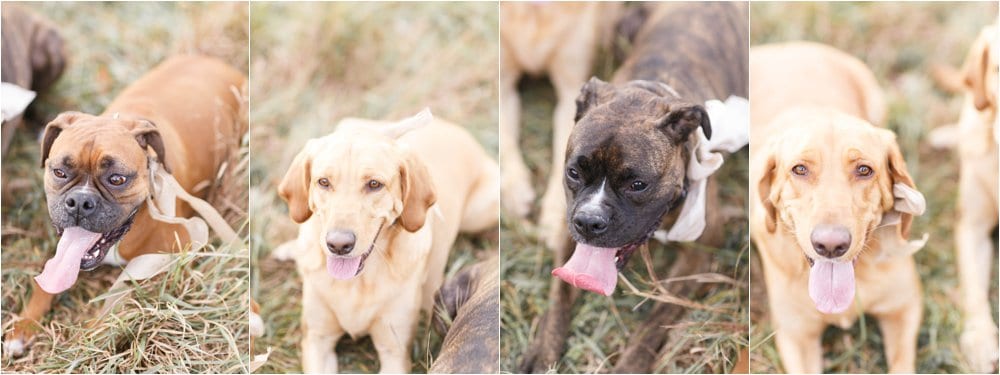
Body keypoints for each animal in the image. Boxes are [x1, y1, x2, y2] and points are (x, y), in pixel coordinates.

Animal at [2, 55, 245, 358]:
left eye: (117, 179)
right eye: (59, 172)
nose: (80, 202)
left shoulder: (177, 253)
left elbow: (123, 296)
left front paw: (88, 337)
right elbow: (44, 283)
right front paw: (22, 326)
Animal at [278, 110, 500, 374]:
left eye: (374, 184)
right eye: (323, 182)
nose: (338, 245)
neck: (357, 284)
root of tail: (450, 126)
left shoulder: (395, 350)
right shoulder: (316, 339)